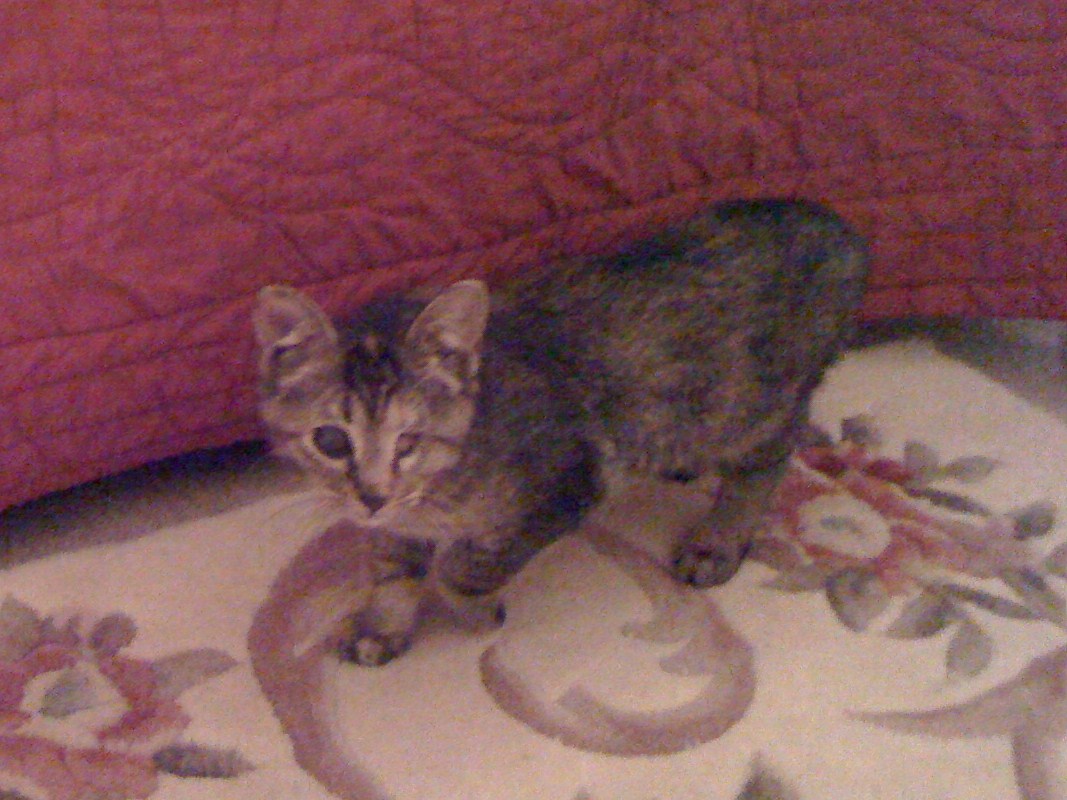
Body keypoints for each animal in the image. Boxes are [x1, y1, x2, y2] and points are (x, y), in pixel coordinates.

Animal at [253, 198, 868, 666]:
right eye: (331, 440)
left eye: (410, 441)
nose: (372, 496)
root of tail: (835, 228)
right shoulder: (396, 525)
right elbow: (392, 571)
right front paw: (381, 626)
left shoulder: (567, 482)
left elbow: (461, 568)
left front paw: (474, 612)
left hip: (750, 408)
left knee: (764, 464)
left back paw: (718, 539)